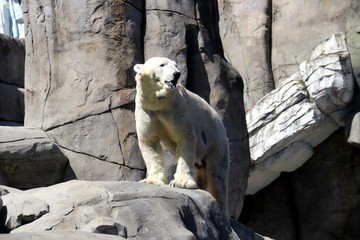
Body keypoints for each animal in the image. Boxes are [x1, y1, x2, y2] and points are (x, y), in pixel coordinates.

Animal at [134, 57, 229, 209]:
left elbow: (185, 138)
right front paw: (151, 180)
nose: (177, 74)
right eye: (162, 64)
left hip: (216, 142)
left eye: (176, 65)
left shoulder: (178, 108)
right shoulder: (146, 111)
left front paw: (181, 182)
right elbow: (149, 141)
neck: (158, 103)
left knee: (217, 176)